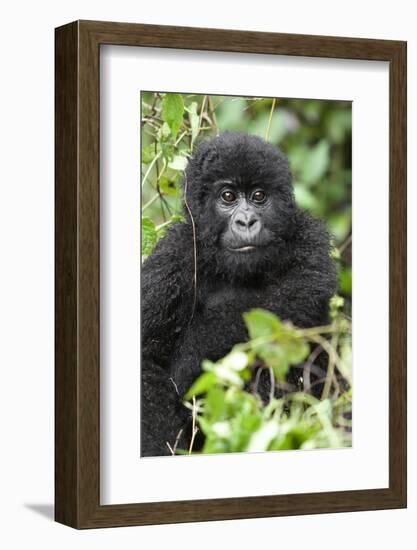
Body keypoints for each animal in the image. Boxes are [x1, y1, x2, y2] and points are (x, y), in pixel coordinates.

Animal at [141, 132, 336, 460]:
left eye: (258, 196)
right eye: (228, 197)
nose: (246, 222)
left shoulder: (311, 245)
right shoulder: (171, 261)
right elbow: (147, 359)